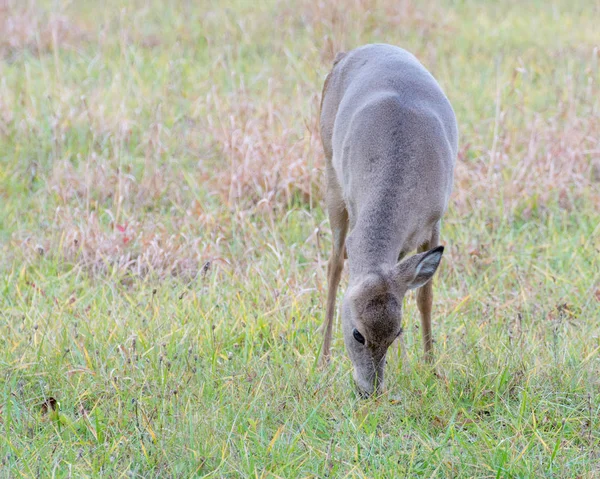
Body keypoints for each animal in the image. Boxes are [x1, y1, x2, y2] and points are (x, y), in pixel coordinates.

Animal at [322, 44, 458, 398]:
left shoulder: (434, 221)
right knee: (334, 266)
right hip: (330, 171)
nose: (370, 391)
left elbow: (424, 297)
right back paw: (322, 359)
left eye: (397, 333)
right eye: (357, 334)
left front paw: (430, 367)